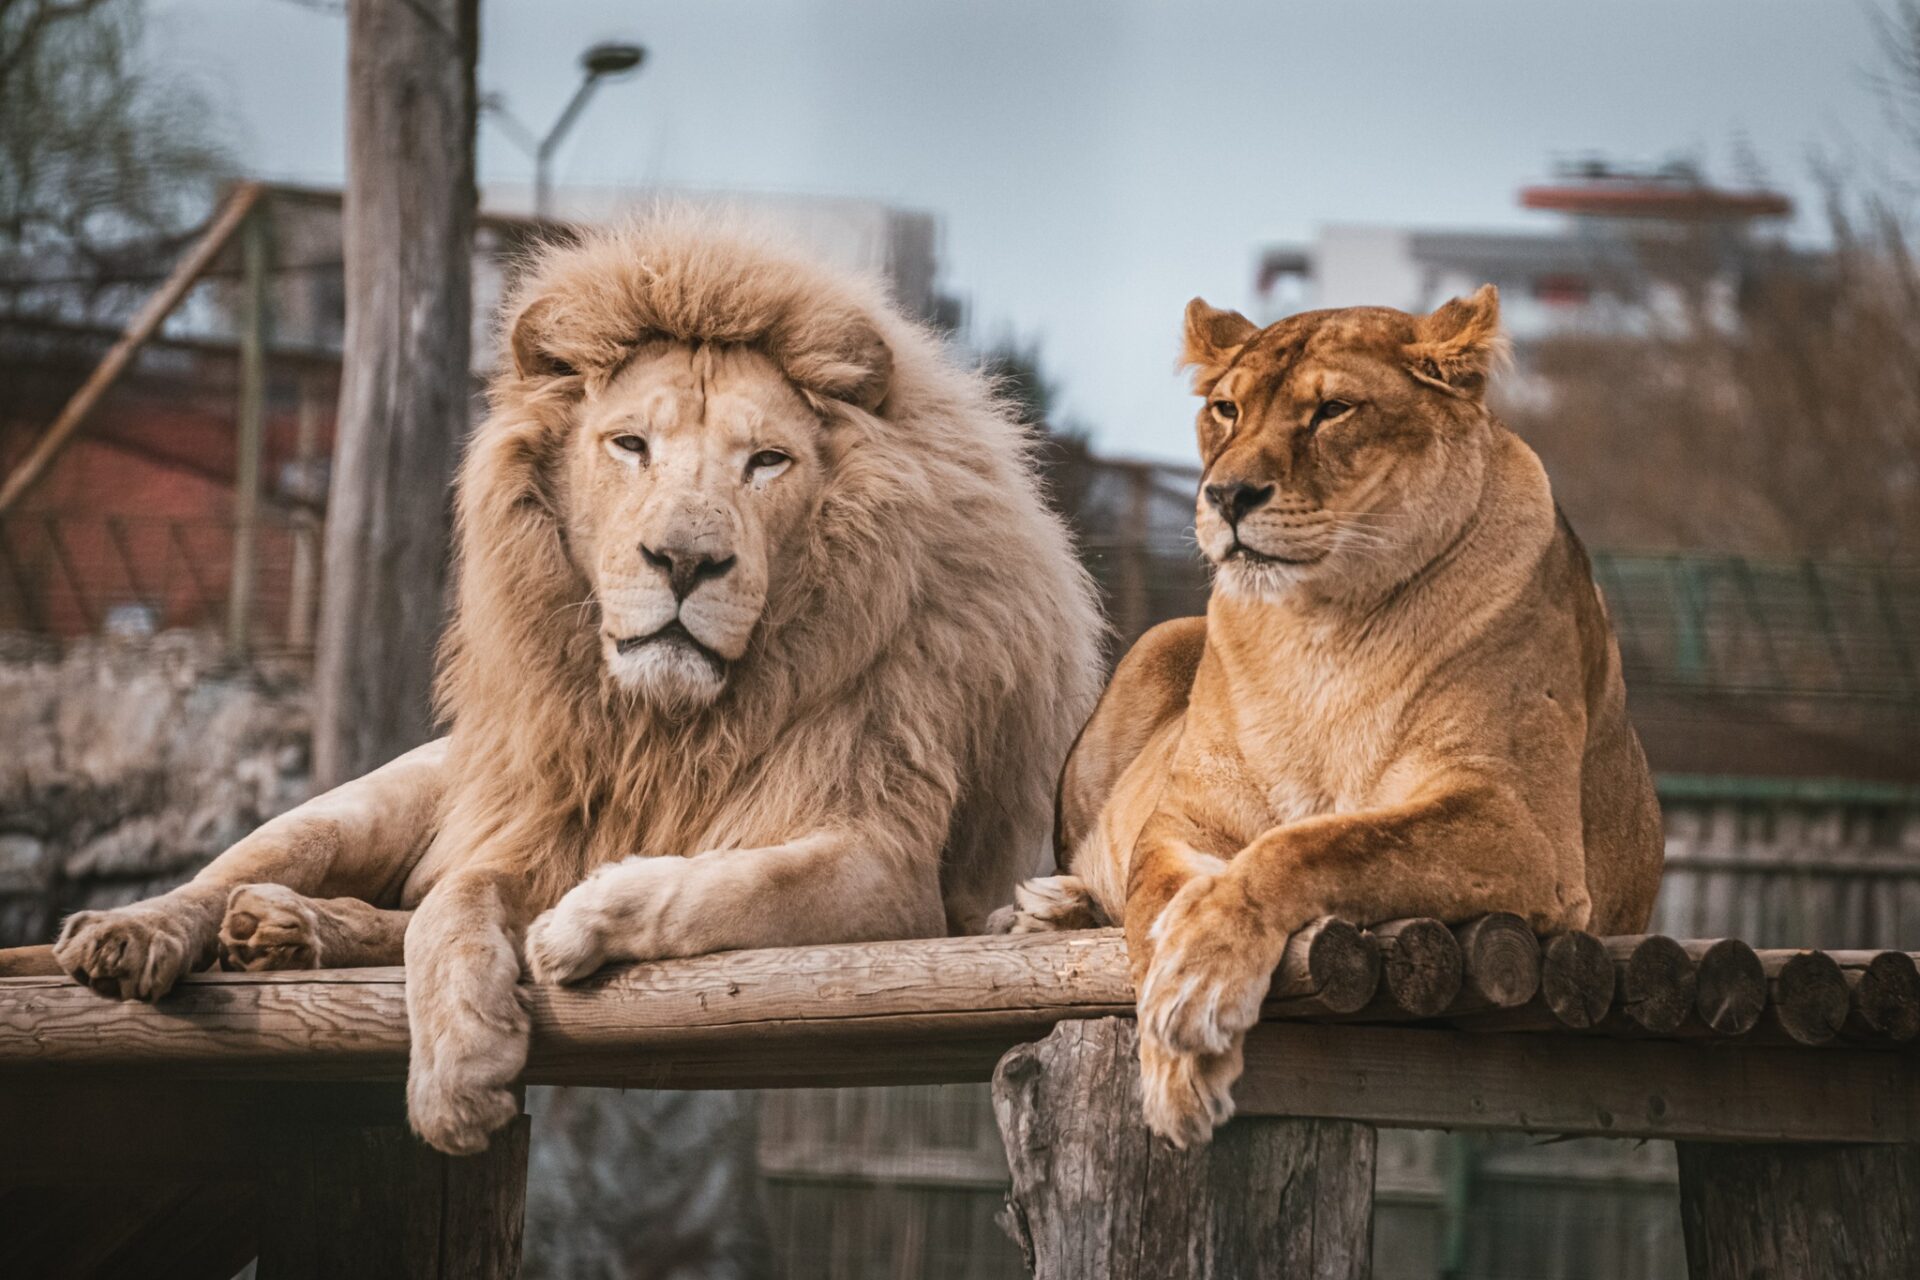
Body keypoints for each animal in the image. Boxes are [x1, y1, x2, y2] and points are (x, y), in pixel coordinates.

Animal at [52, 214, 1105, 1159]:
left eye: (768, 462)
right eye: (630, 445)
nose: (685, 561)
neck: (674, 725)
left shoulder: (889, 870)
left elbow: (733, 880)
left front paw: (578, 925)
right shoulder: (539, 815)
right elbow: (454, 898)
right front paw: (462, 1064)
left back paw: (286, 931)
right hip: (373, 802)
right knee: (236, 875)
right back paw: (153, 931)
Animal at [1006, 293, 1666, 1151]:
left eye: (1332, 411)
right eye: (1227, 409)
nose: (1226, 496)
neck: (1323, 624)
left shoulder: (1525, 831)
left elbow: (1317, 842)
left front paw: (1197, 984)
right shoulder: (1187, 820)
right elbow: (1154, 903)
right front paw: (1177, 1043)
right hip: (1161, 641)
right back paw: (1051, 906)